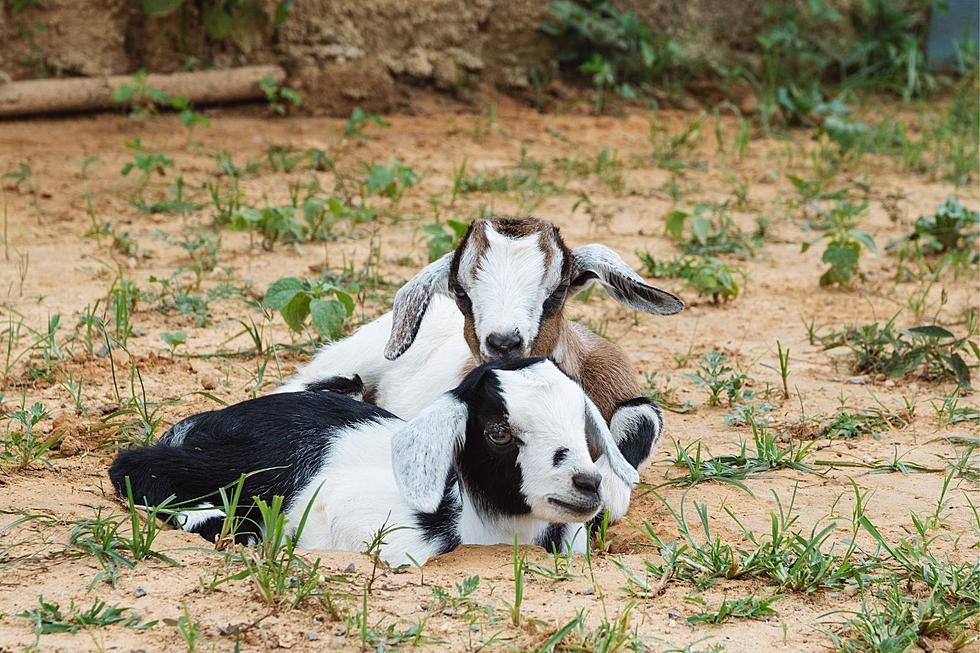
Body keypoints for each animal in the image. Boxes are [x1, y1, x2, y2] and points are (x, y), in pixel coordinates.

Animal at [109, 356, 644, 564]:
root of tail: (200, 423)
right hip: (240, 462)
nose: (586, 483)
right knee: (135, 467)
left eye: (582, 423)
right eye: (498, 432)